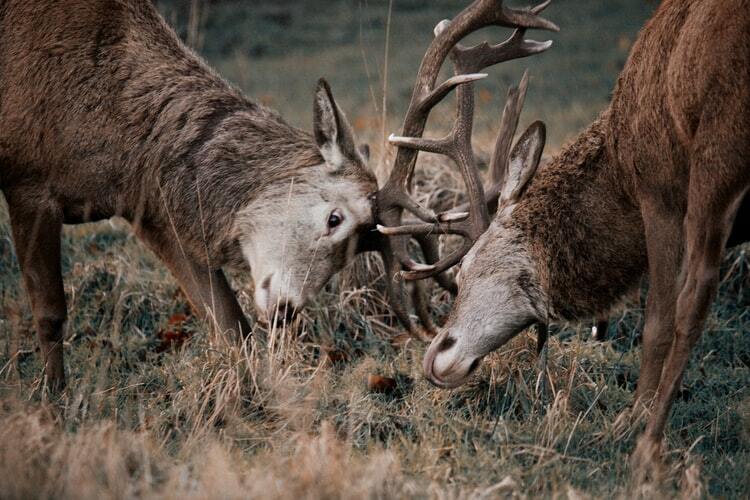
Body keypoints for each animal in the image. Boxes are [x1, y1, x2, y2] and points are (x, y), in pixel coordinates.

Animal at [378, 0, 750, 476]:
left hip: (719, 147)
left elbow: (658, 320)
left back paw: (647, 446)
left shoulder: (659, 190)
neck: (619, 173)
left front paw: (633, 419)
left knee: (695, 296)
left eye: (465, 270)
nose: (435, 357)